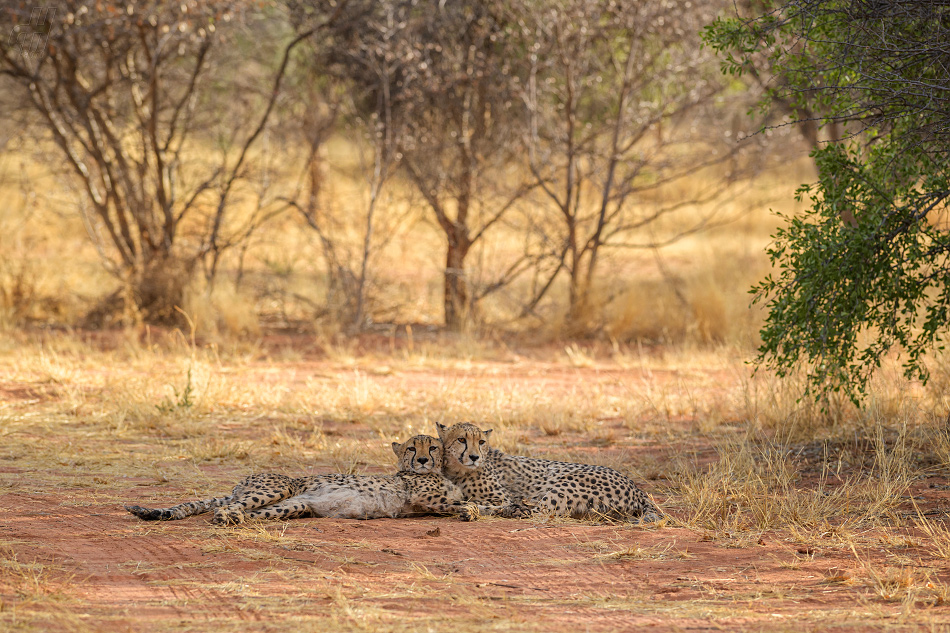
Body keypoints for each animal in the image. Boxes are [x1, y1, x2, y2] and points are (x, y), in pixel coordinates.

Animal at [124, 434, 484, 524]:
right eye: (412, 447)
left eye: (433, 447)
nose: (422, 459)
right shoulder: (425, 497)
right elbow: (463, 503)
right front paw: (469, 511)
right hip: (279, 487)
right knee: (225, 508)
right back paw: (226, 516)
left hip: (294, 506)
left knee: (253, 513)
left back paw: (236, 519)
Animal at [436, 422, 660, 520]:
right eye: (461, 439)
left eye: (481, 442)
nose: (474, 457)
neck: (457, 469)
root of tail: (635, 486)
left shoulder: (501, 497)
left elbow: (492, 502)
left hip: (567, 484)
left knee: (536, 511)